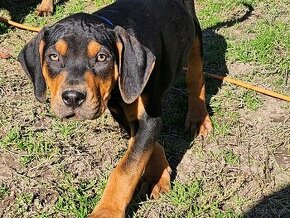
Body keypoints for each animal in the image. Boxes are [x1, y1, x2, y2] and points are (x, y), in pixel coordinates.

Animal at [18, 0, 213, 216]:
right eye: (53, 56)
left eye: (102, 57)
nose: (72, 97)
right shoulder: (123, 113)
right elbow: (143, 147)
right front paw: (158, 174)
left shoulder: (149, 115)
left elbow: (126, 168)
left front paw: (106, 212)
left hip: (195, 33)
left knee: (196, 76)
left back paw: (198, 118)